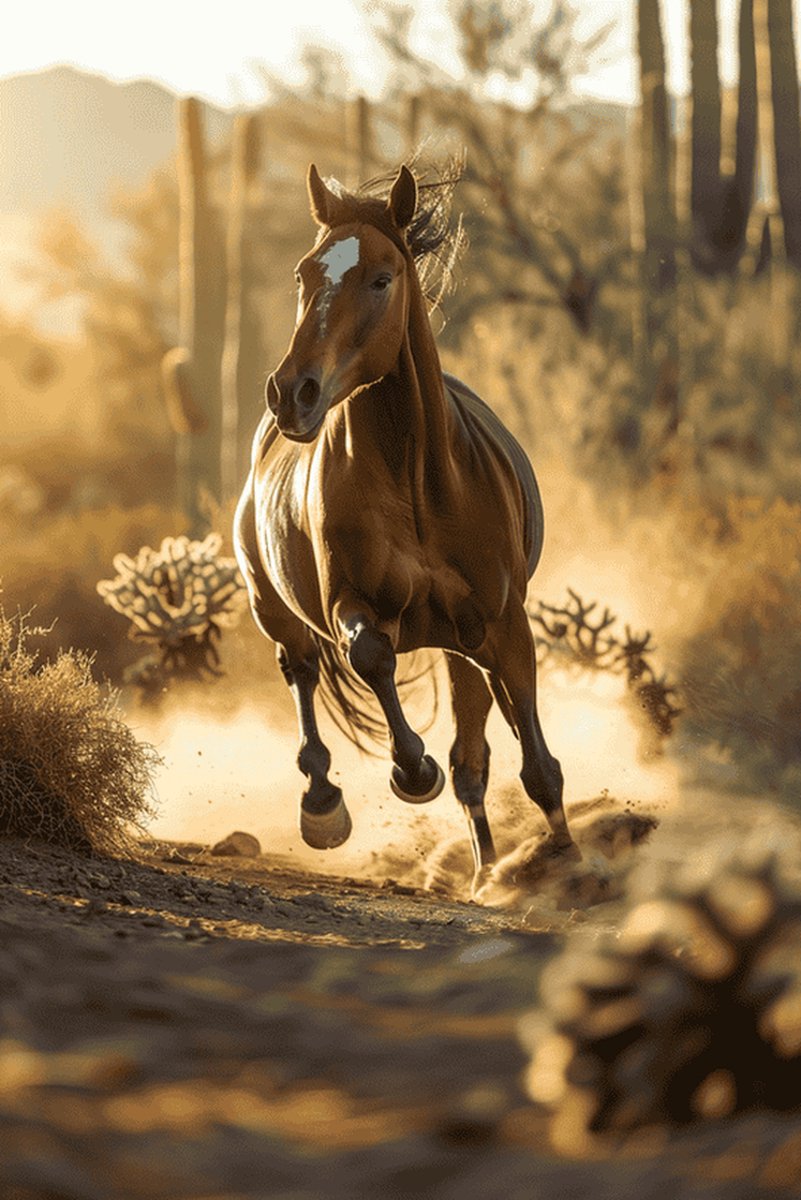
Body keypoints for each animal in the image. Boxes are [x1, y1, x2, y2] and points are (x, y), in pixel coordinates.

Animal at [234, 162, 575, 893]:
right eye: (303, 274)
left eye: (381, 278)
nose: (291, 393)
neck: (419, 484)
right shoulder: (353, 603)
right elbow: (372, 658)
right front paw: (411, 770)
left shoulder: (502, 623)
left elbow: (532, 753)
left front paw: (567, 860)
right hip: (272, 607)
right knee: (302, 673)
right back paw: (323, 805)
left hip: (465, 644)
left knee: (479, 749)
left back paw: (489, 870)